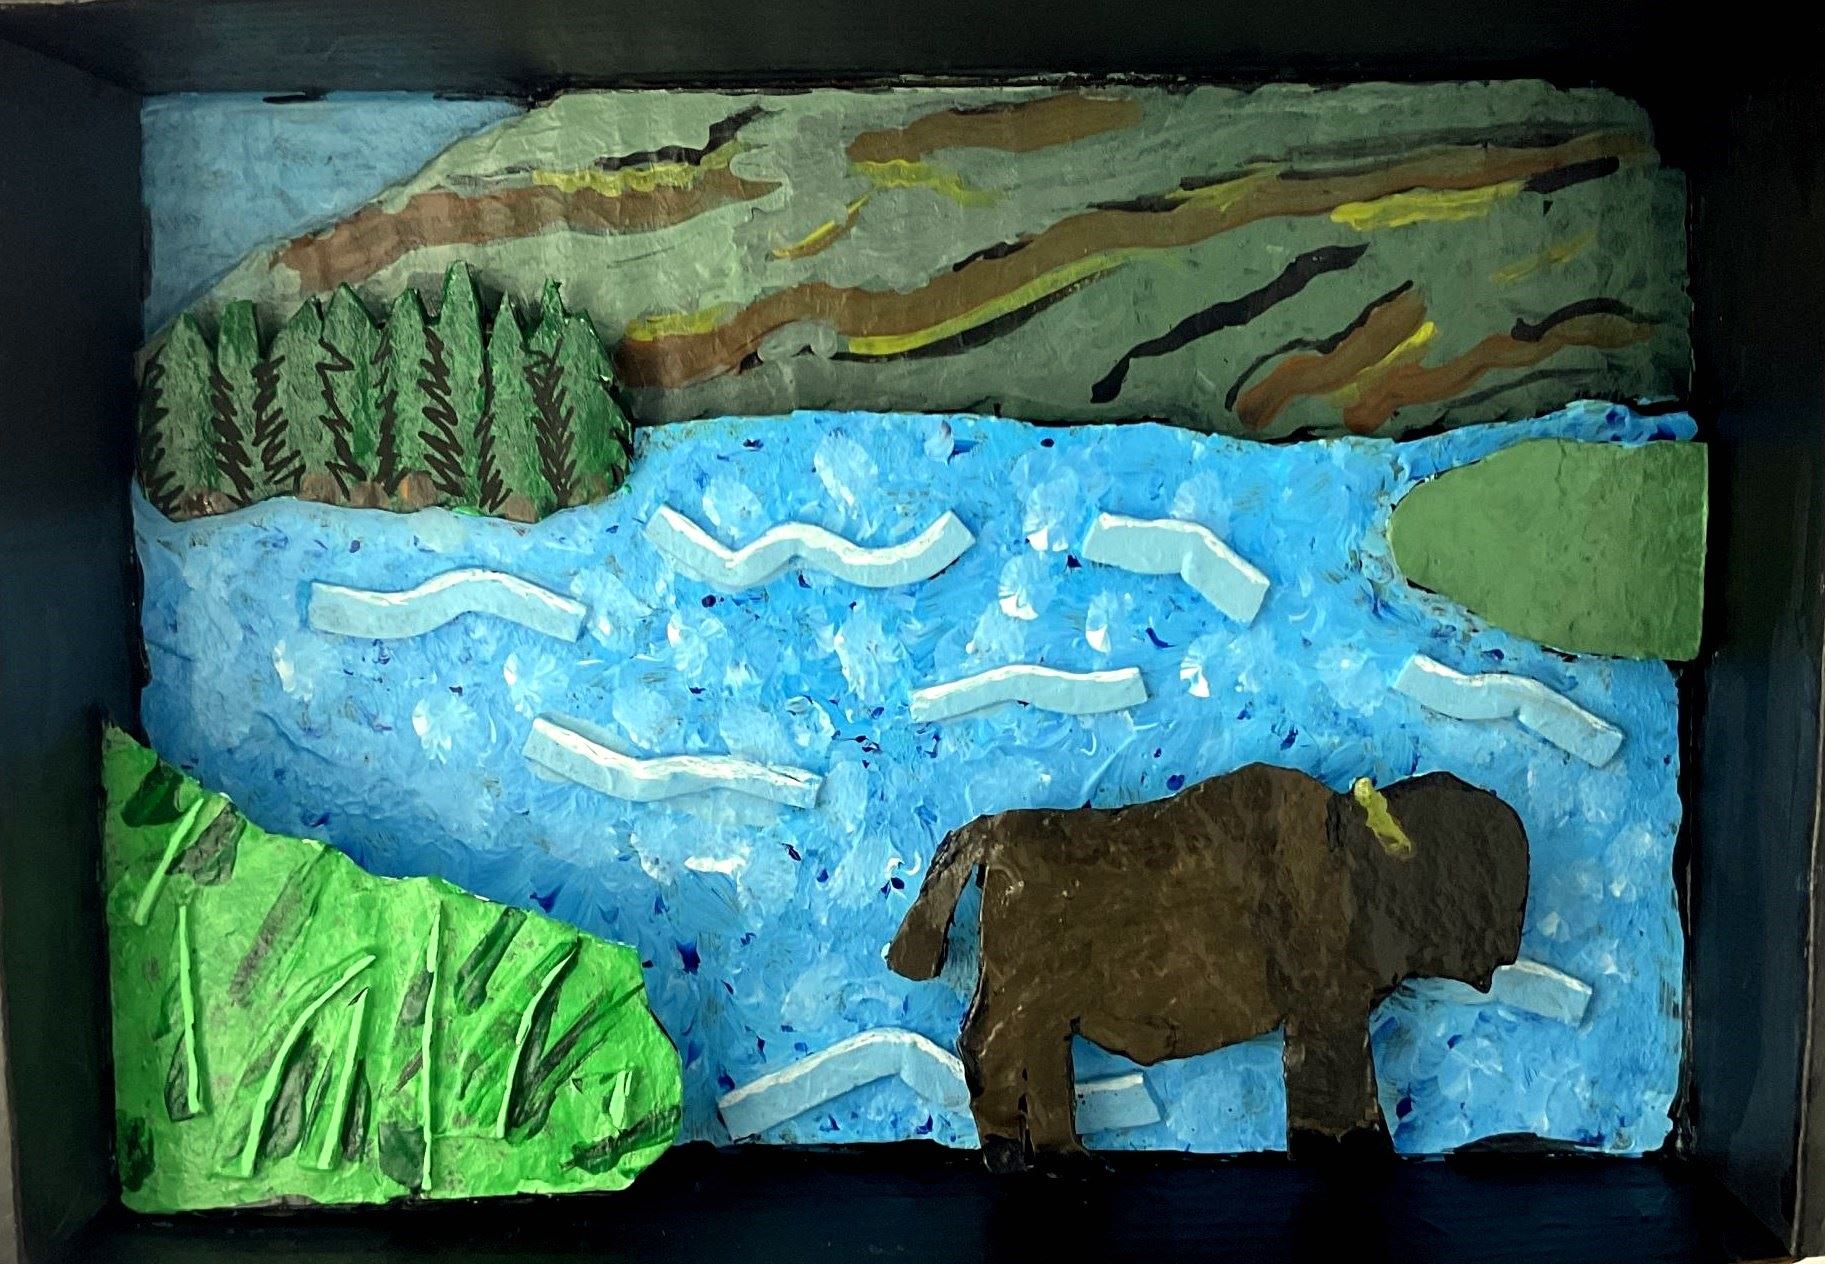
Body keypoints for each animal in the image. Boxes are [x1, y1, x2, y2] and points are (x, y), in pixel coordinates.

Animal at [886, 764, 1529, 1170]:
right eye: (1467, 858)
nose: (1507, 947)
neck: (1354, 859)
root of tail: (995, 832)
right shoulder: (1329, 1013)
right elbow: (1336, 1084)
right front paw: (1356, 1150)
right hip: (1022, 997)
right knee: (985, 1048)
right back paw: (1005, 1155)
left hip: (1049, 1013)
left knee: (1041, 1066)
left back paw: (1068, 1157)